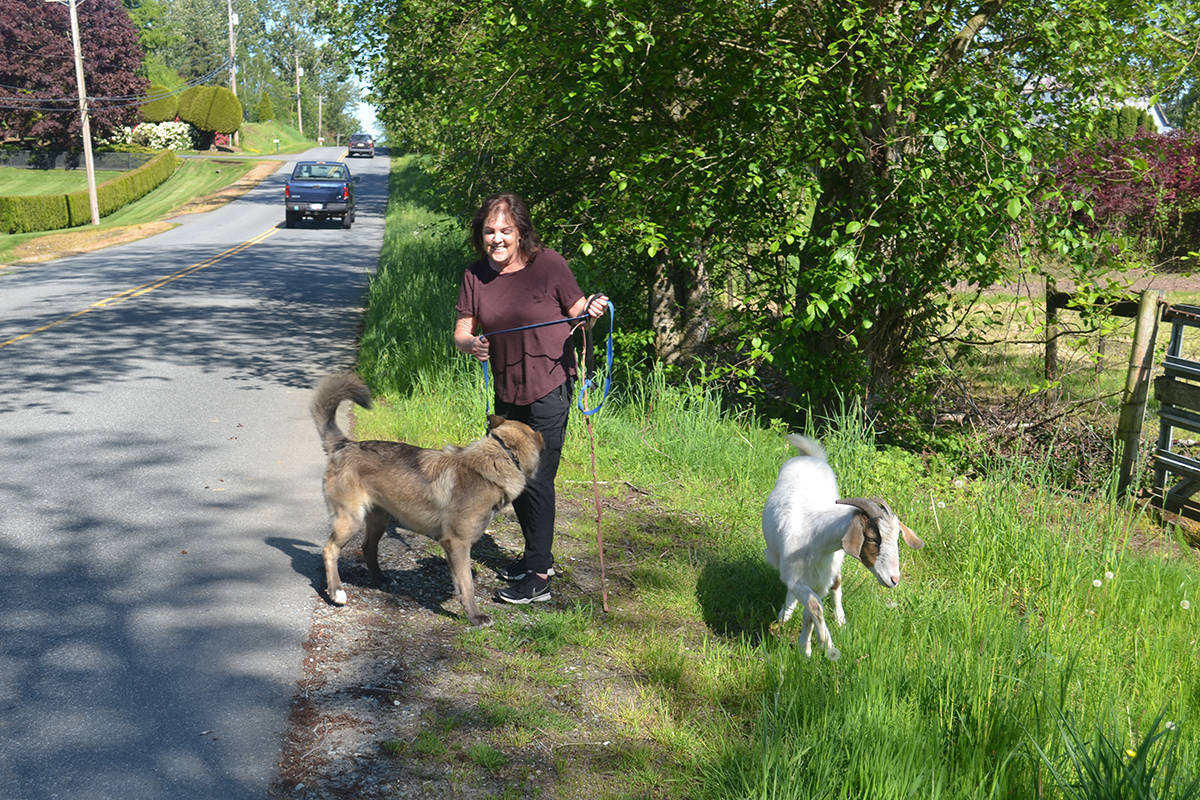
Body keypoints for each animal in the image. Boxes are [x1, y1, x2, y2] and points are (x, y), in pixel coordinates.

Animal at [309, 371, 544, 628]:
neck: (499, 456)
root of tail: (344, 445)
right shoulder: (457, 544)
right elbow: (467, 586)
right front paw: (474, 616)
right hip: (350, 519)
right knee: (329, 551)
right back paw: (336, 592)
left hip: (378, 519)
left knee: (368, 548)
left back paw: (380, 579)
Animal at [763, 434, 921, 662]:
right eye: (872, 538)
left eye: (896, 539)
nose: (894, 579)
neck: (815, 537)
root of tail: (812, 457)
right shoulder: (795, 577)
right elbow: (814, 606)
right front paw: (825, 644)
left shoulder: (821, 581)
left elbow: (811, 612)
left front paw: (807, 648)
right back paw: (785, 614)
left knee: (837, 584)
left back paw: (840, 620)